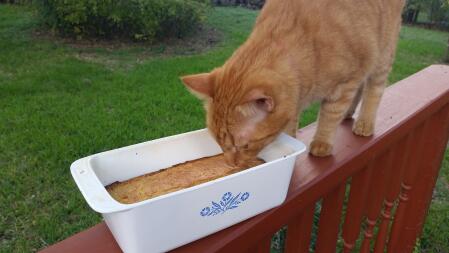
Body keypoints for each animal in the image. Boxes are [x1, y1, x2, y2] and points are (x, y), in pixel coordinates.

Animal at [180, 0, 404, 165]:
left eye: (243, 146)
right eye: (220, 144)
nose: (230, 164)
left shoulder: (345, 83)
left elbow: (329, 116)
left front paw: (322, 143)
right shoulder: (295, 98)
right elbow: (290, 126)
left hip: (382, 53)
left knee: (373, 89)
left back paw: (364, 123)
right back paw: (349, 113)